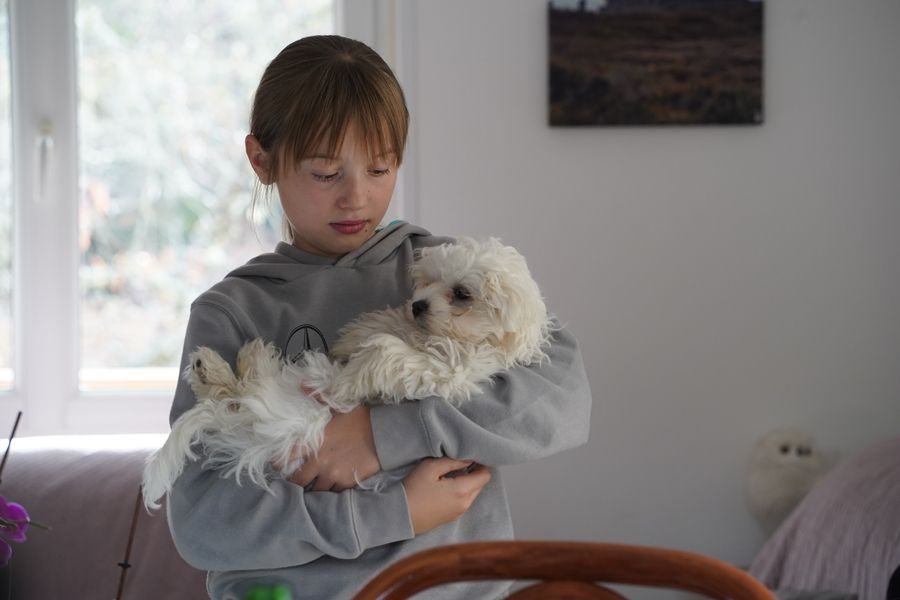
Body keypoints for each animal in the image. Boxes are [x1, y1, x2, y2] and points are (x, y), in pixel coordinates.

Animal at [142, 237, 552, 510]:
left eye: (463, 293)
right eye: (427, 281)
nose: (418, 305)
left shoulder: (448, 369)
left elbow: (385, 353)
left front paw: (347, 378)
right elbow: (384, 327)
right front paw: (355, 336)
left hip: (292, 419)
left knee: (242, 393)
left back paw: (233, 366)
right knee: (239, 389)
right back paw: (225, 362)